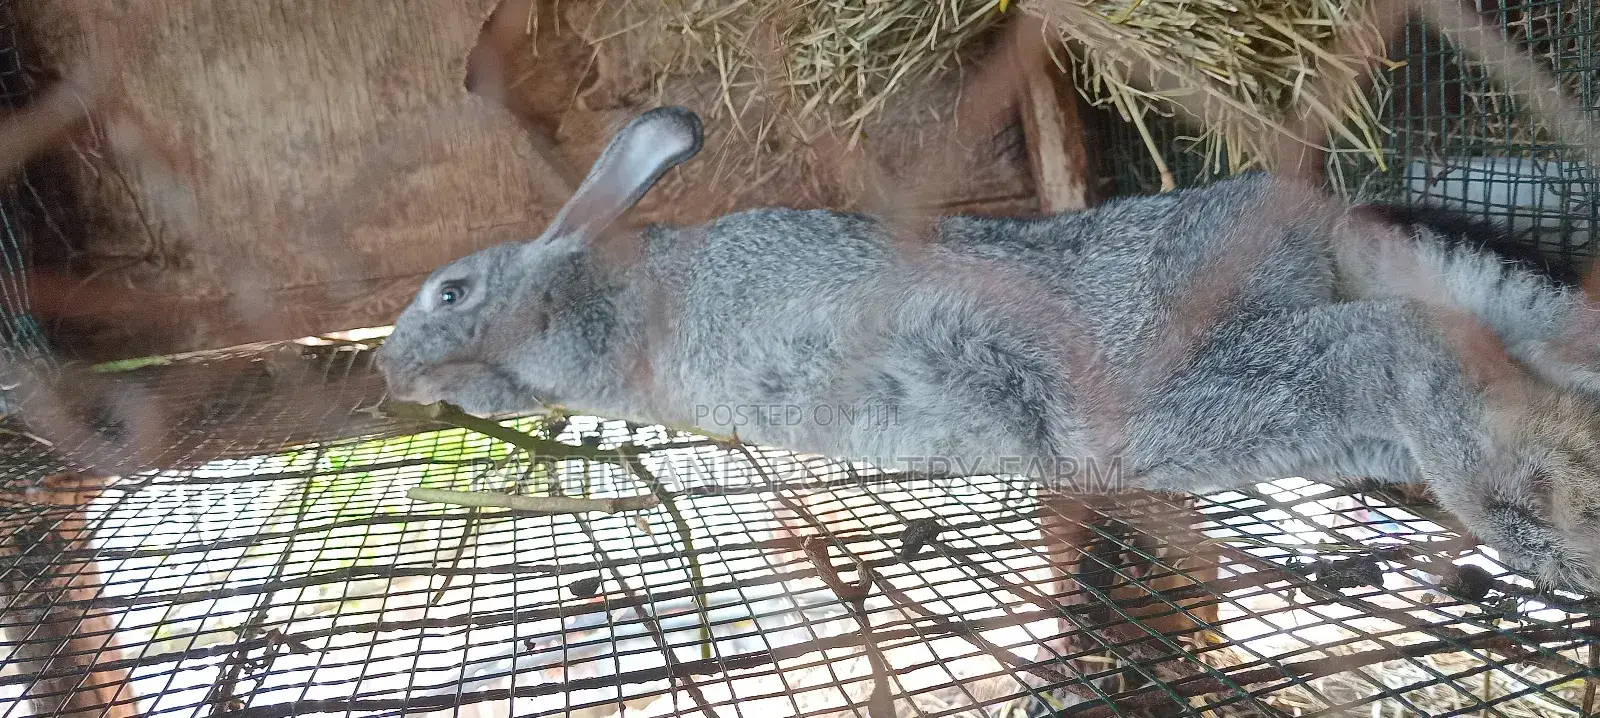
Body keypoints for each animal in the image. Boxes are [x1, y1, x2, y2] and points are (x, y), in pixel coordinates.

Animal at [377, 106, 1600, 591]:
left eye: (450, 289)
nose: (390, 369)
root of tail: (1314, 220)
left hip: (1161, 395)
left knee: (1407, 343)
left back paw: (1543, 528)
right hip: (1261, 422)